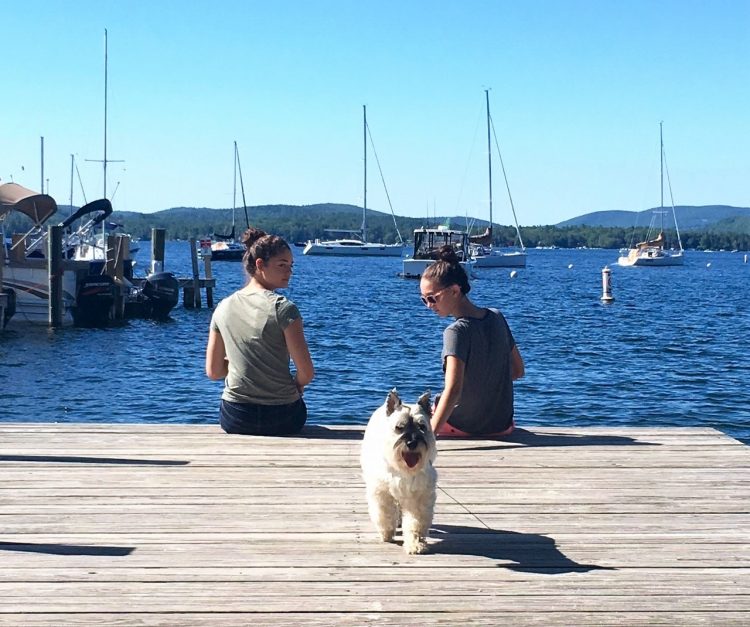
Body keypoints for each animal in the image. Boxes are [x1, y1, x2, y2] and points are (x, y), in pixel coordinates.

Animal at [362, 390, 438, 556]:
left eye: (422, 426)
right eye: (399, 427)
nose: (412, 443)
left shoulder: (418, 497)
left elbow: (415, 522)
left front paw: (416, 544)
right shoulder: (382, 492)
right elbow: (385, 513)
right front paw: (386, 533)